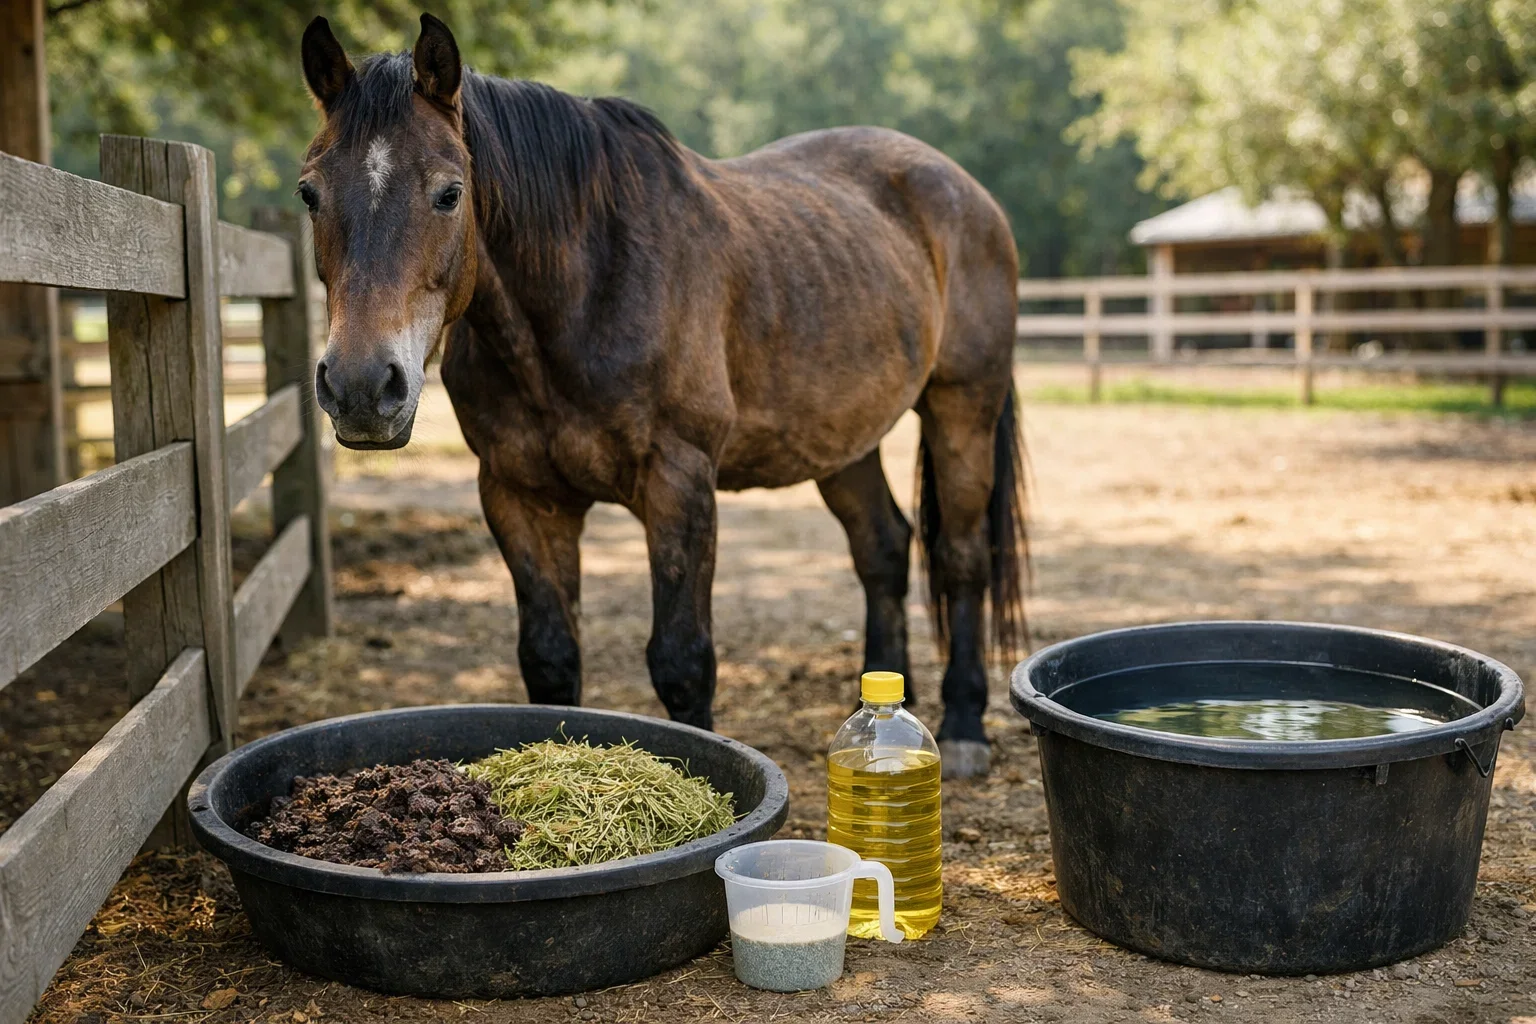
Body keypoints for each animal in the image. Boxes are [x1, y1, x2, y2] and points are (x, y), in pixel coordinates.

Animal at [297, 13, 1027, 778]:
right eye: (308, 194)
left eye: (449, 192)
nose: (360, 387)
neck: (586, 289)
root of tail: (963, 190)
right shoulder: (519, 494)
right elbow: (549, 658)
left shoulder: (679, 483)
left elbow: (682, 661)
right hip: (842, 439)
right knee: (883, 549)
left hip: (962, 409)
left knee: (962, 557)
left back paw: (964, 727)